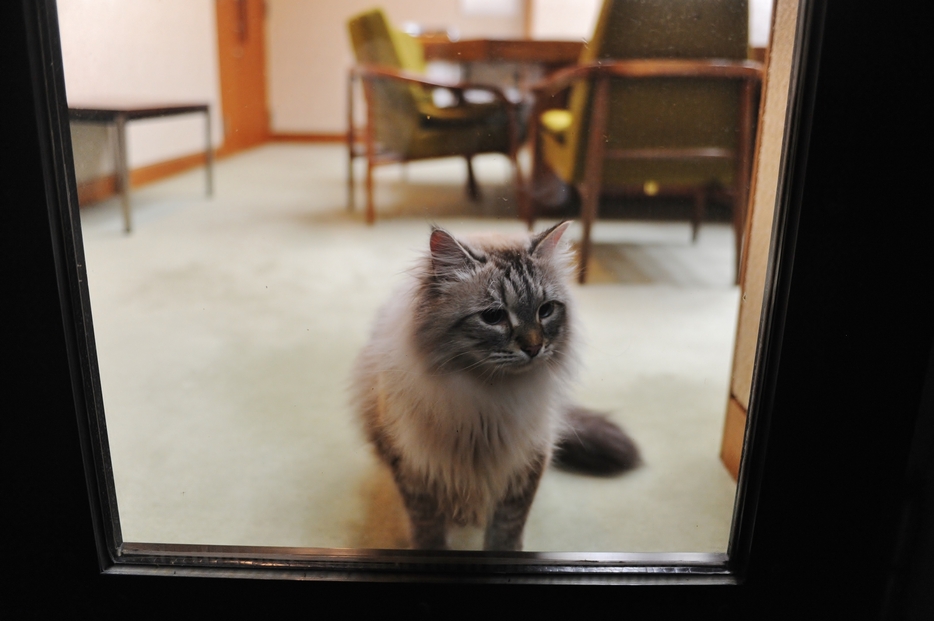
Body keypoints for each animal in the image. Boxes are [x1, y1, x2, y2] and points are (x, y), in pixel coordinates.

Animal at [352, 220, 644, 548]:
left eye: (545, 310)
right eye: (493, 316)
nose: (534, 347)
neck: (490, 399)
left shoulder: (526, 462)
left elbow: (506, 530)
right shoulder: (415, 469)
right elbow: (428, 530)